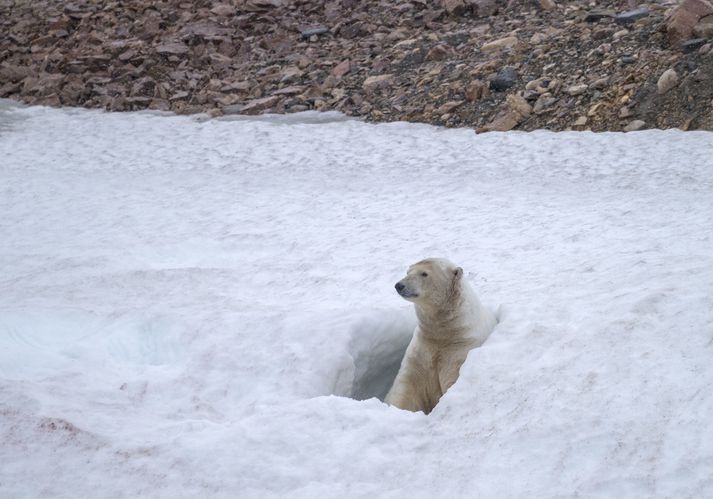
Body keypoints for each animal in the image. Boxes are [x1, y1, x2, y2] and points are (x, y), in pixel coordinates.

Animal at [384, 258, 496, 414]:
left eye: (424, 273)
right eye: (408, 272)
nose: (399, 285)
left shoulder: (461, 347)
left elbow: (451, 377)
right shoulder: (421, 350)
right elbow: (408, 387)